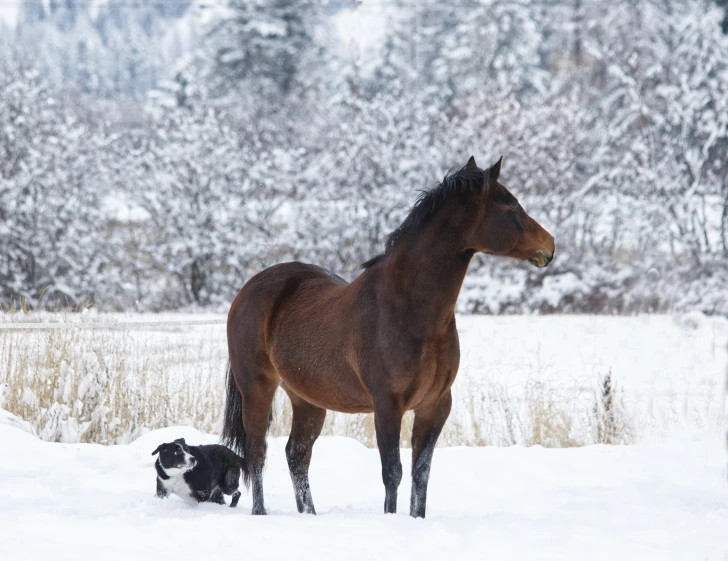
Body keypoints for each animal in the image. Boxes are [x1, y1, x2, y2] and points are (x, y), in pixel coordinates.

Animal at [220, 156, 552, 516]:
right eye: (511, 207)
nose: (549, 246)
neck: (409, 310)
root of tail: (248, 289)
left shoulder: (435, 405)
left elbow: (421, 473)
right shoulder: (387, 405)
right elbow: (393, 472)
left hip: (307, 399)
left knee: (297, 455)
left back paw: (309, 514)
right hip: (257, 387)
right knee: (257, 452)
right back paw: (260, 512)